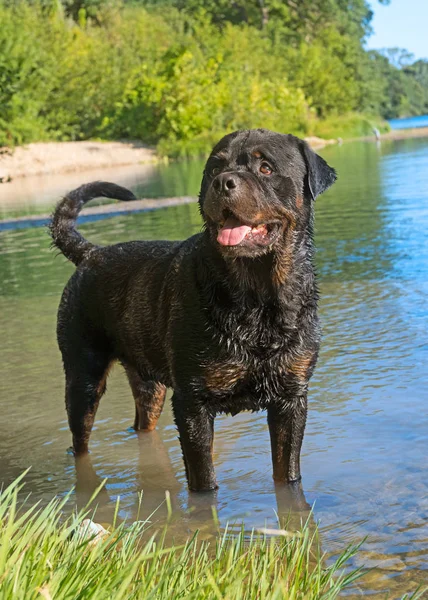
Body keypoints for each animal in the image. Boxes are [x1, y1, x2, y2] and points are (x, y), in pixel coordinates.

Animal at [50, 130, 336, 492]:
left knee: (143, 421)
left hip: (150, 384)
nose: (223, 182)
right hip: (83, 375)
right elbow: (204, 480)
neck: (258, 296)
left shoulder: (292, 398)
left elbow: (288, 474)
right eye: (215, 168)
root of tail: (90, 254)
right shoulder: (192, 402)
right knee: (80, 438)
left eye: (266, 167)